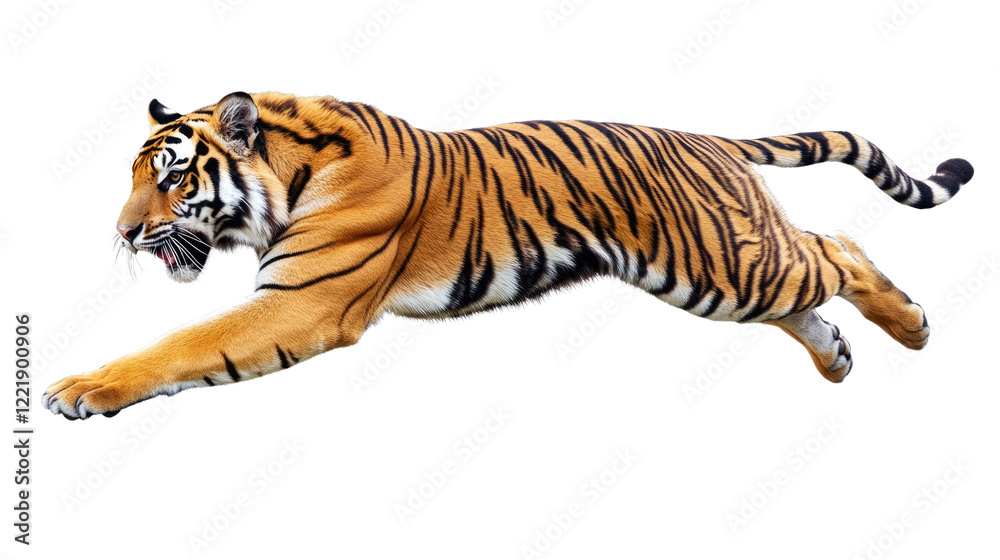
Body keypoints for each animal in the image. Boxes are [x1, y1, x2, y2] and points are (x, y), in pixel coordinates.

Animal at [42, 91, 974, 419]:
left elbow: (185, 344)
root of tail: (707, 138)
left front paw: (79, 390)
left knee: (838, 246)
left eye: (171, 178)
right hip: (715, 273)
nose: (122, 233)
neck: (292, 168)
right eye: (134, 176)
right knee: (808, 290)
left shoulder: (305, 301)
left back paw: (915, 327)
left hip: (725, 264)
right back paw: (838, 357)